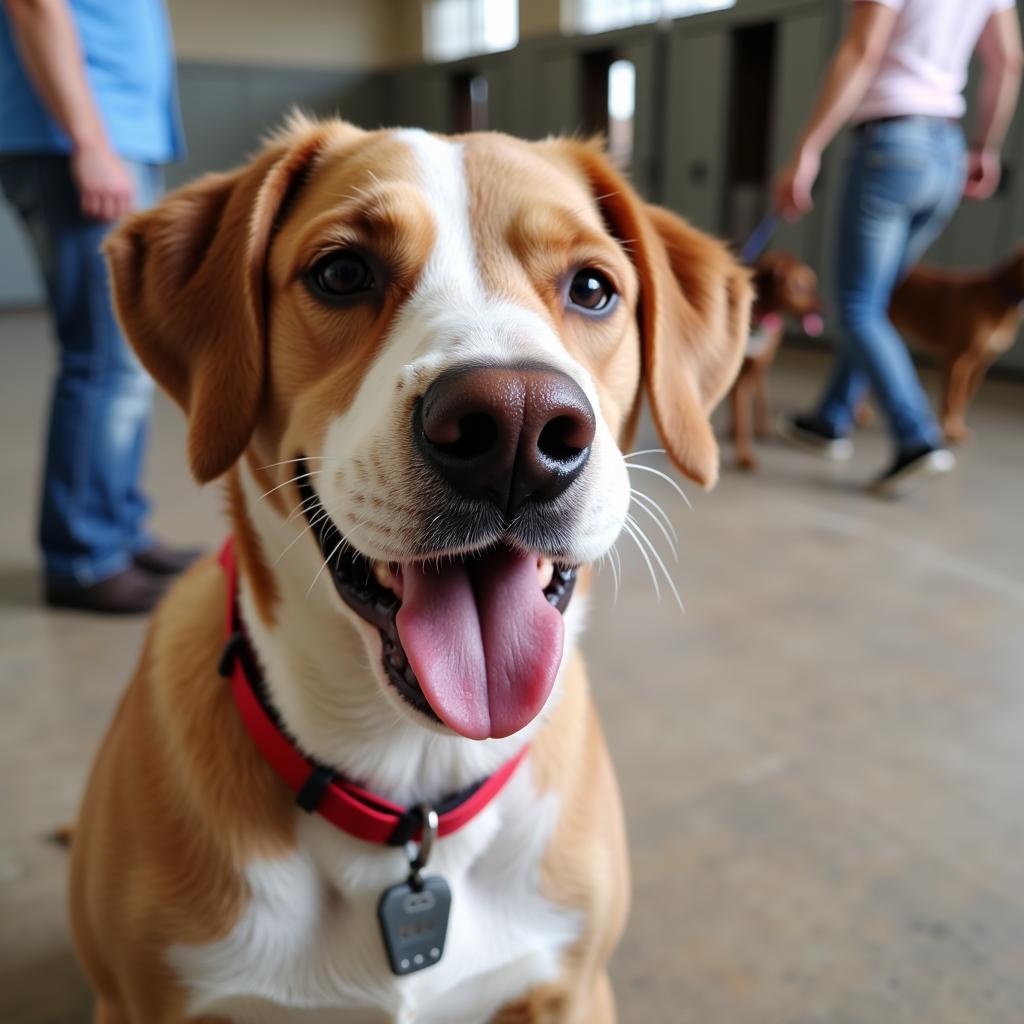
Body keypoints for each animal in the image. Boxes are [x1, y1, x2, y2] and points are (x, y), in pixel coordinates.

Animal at [729, 249, 823, 468]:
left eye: (814, 284)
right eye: (802, 286)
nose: (823, 310)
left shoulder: (747, 373)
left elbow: (744, 412)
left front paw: (744, 453)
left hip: (762, 364)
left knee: (759, 390)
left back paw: (760, 426)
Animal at [888, 247, 1024, 444]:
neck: (1000, 296)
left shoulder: (981, 363)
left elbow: (963, 400)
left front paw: (955, 427)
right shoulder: (955, 360)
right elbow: (951, 400)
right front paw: (950, 431)